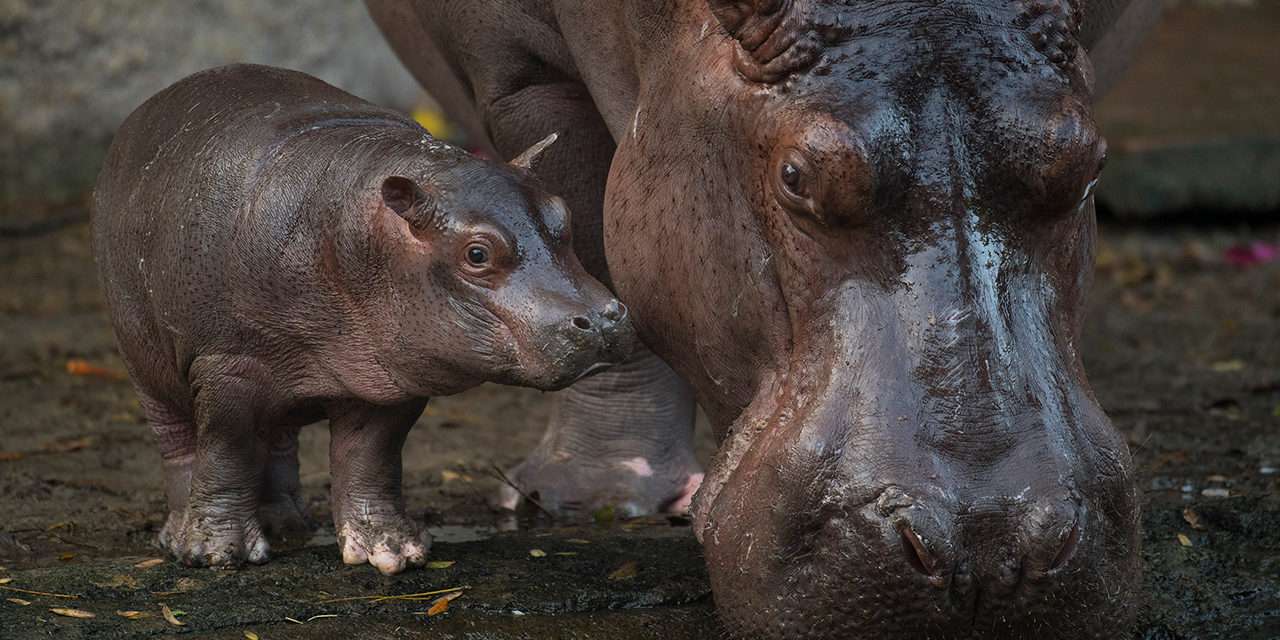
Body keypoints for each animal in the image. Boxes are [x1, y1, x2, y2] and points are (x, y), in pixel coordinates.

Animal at [92, 64, 632, 576]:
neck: (356, 234)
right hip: (145, 360)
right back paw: (178, 534)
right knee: (181, 443)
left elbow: (369, 457)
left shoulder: (386, 378)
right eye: (477, 253)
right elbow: (225, 449)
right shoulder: (229, 365)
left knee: (277, 440)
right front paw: (215, 554)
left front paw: (393, 551)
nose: (603, 319)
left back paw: (287, 525)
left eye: (564, 214)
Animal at [368, 2, 1162, 637]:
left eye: (1089, 163)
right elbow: (586, 226)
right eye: (796, 177)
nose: (989, 552)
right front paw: (593, 500)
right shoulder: (523, 70)